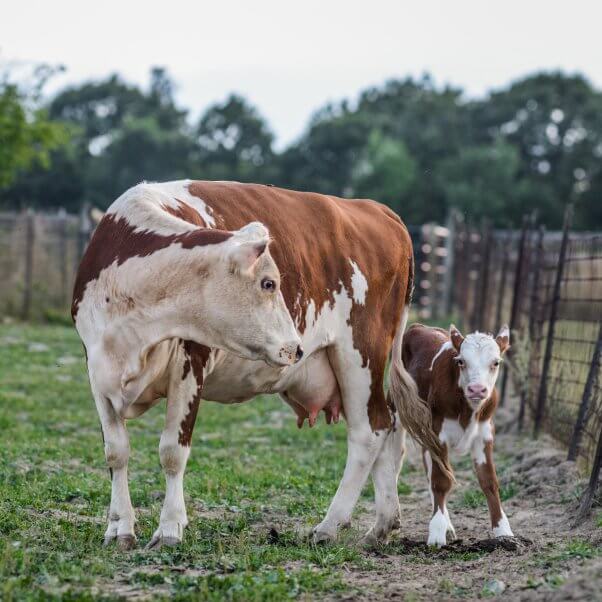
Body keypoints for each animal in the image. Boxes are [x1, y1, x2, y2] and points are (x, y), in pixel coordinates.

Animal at [71, 179, 446, 548]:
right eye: (268, 283)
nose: (296, 347)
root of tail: (377, 209)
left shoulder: (190, 365)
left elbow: (172, 452)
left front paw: (169, 528)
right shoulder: (96, 370)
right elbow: (116, 452)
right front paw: (120, 527)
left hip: (360, 354)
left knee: (370, 431)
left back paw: (329, 524)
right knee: (391, 424)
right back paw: (382, 523)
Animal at [400, 324, 512, 544]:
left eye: (495, 362)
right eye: (461, 362)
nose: (477, 389)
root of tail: (421, 326)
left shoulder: (484, 434)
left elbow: (489, 481)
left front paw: (503, 530)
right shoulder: (438, 434)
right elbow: (441, 481)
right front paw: (436, 531)